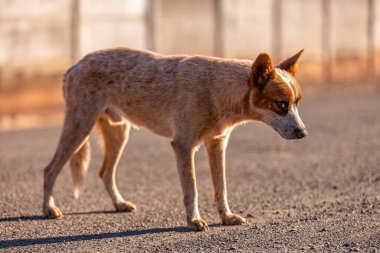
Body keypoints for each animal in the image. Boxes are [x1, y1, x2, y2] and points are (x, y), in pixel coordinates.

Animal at [43, 47, 308, 231]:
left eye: (297, 103)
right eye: (281, 104)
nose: (304, 133)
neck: (217, 89)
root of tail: (75, 65)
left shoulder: (217, 144)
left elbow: (221, 188)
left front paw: (226, 217)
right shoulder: (183, 146)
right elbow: (192, 189)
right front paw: (194, 220)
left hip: (118, 133)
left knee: (105, 172)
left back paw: (119, 204)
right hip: (79, 128)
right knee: (49, 169)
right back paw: (48, 208)